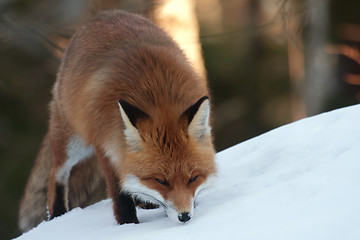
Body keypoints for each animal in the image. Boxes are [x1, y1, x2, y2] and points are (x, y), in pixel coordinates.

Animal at [18, 10, 215, 232]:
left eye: (193, 178)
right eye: (161, 181)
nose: (185, 217)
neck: (158, 97)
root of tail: (105, 15)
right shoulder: (104, 144)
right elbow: (119, 193)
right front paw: (128, 225)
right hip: (72, 142)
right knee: (56, 175)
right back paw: (58, 214)